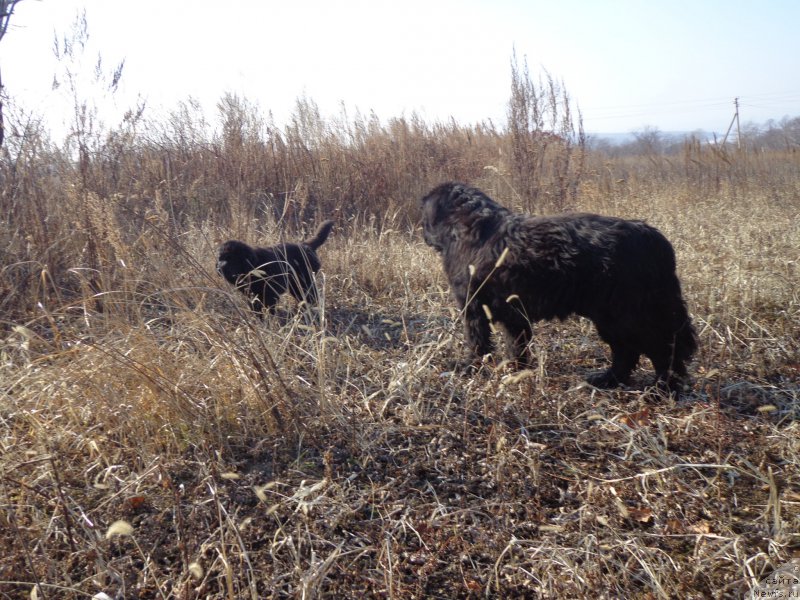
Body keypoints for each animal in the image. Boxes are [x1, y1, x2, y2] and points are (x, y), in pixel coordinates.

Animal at [422, 180, 696, 392]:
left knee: (661, 350)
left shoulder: (473, 307)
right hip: (615, 317)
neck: (470, 228)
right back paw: (607, 380)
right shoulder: (513, 313)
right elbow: (517, 346)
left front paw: (469, 367)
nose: (424, 234)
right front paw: (516, 371)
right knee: (629, 351)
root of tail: (653, 237)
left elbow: (477, 341)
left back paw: (662, 388)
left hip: (629, 315)